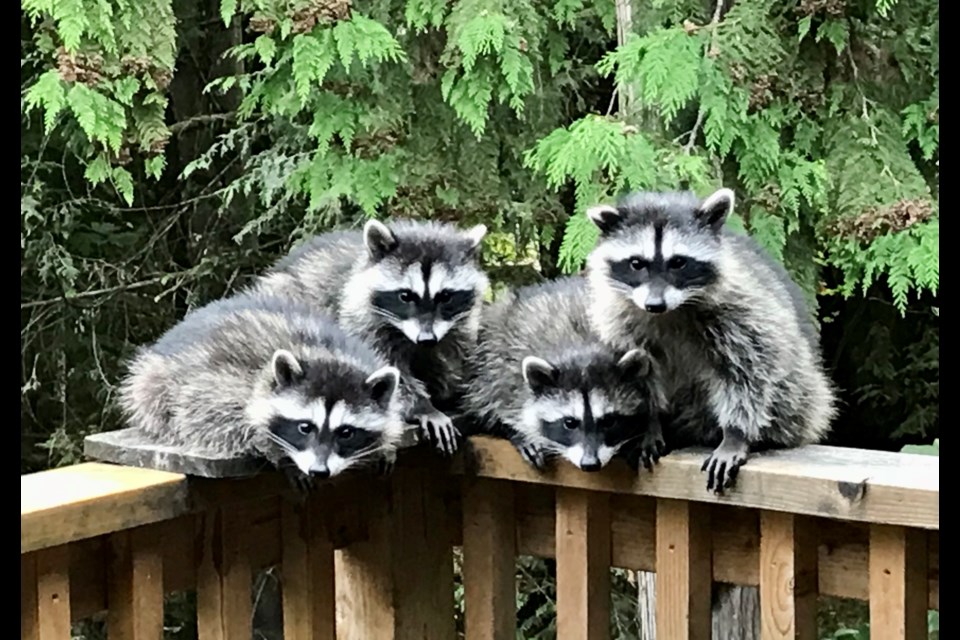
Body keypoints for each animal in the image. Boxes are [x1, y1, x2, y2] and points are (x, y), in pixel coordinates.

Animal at [462, 278, 664, 472]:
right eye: (569, 423)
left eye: (609, 421)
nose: (590, 464)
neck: (581, 346)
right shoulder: (505, 371)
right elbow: (494, 403)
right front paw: (518, 432)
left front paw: (650, 430)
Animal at [580, 188, 836, 492]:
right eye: (636, 263)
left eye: (678, 262)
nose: (654, 304)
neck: (672, 311)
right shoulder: (622, 321)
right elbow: (638, 373)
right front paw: (652, 420)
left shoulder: (741, 311)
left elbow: (750, 371)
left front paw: (736, 433)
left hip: (802, 392)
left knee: (786, 383)